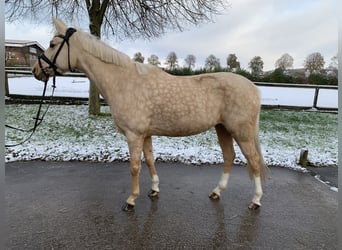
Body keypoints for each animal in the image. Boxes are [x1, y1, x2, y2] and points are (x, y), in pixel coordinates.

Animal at [33, 18, 268, 212]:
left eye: (52, 45)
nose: (36, 70)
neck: (124, 82)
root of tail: (253, 88)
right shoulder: (145, 134)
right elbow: (149, 160)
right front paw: (154, 189)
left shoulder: (134, 134)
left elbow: (135, 167)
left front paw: (131, 200)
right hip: (223, 128)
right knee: (229, 157)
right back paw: (217, 192)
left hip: (241, 132)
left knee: (254, 161)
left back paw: (256, 200)